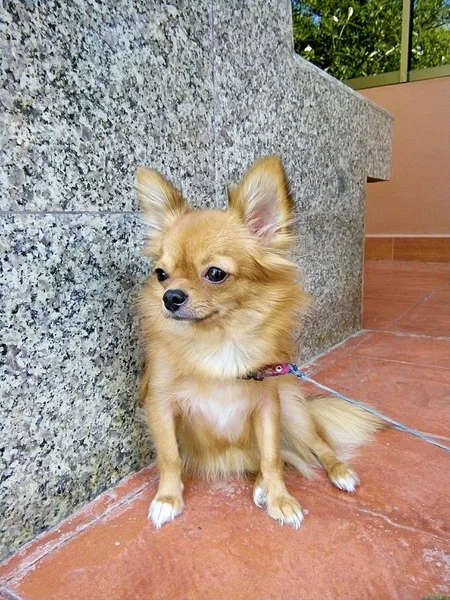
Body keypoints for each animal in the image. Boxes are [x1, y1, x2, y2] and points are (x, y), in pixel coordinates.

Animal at [136, 157, 380, 528]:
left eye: (216, 274)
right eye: (161, 274)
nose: (170, 297)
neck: (219, 341)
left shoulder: (268, 405)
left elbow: (272, 456)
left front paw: (281, 499)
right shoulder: (161, 405)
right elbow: (170, 457)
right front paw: (167, 498)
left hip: (291, 408)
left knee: (316, 445)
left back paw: (336, 472)